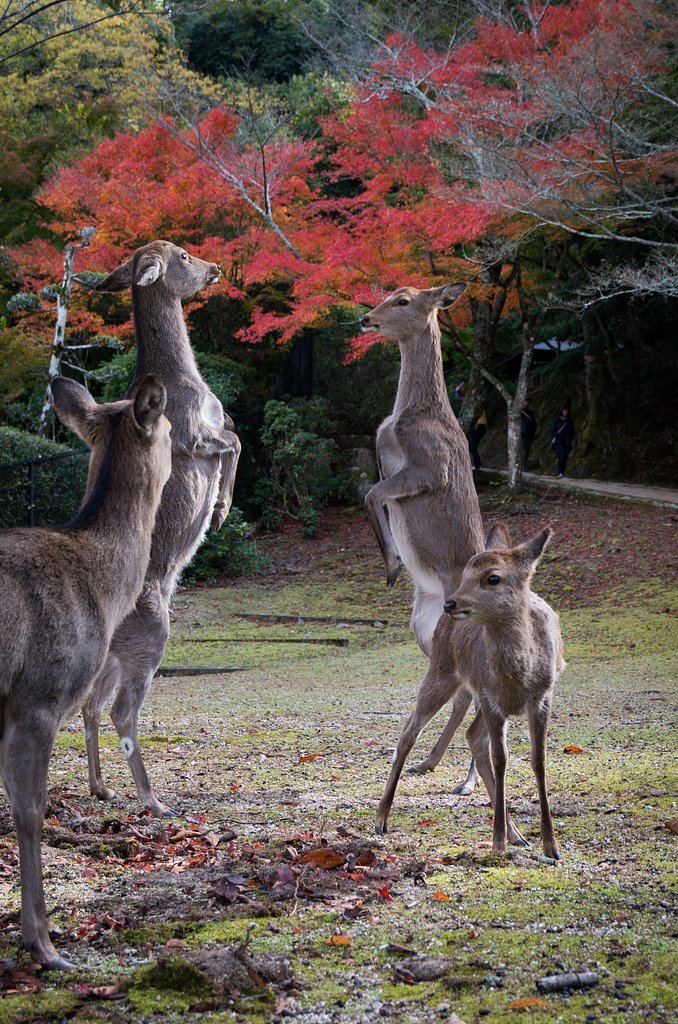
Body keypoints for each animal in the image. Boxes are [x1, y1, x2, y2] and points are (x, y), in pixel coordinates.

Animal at [82, 240, 241, 817]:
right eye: (185, 255)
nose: (216, 268)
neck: (188, 379)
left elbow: (235, 428)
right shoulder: (196, 434)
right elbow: (235, 440)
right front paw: (219, 510)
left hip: (110, 654)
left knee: (88, 704)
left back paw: (102, 788)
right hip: (150, 634)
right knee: (120, 711)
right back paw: (154, 802)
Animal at [376, 525, 565, 861]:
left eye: (493, 578)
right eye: (465, 573)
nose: (451, 604)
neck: (519, 677)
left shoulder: (542, 697)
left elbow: (538, 760)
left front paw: (550, 845)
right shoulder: (489, 697)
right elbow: (501, 759)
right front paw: (497, 843)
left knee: (472, 736)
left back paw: (517, 835)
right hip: (441, 670)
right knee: (410, 732)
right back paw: (381, 818)